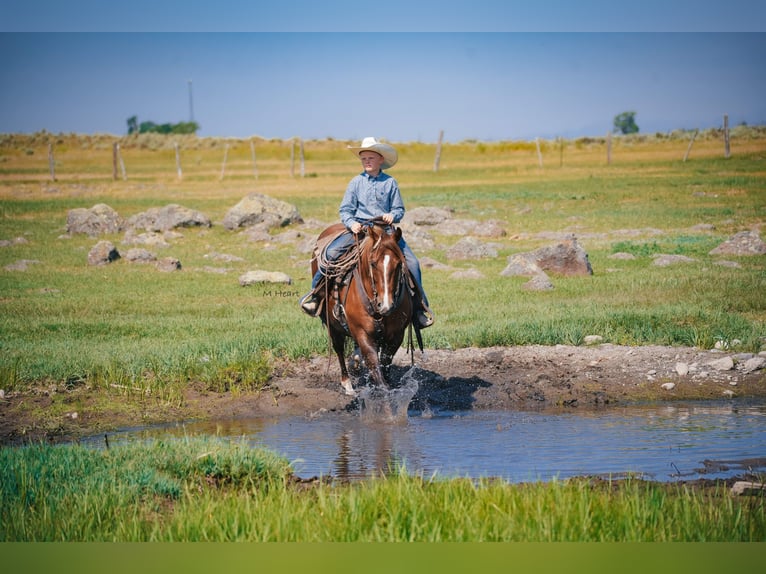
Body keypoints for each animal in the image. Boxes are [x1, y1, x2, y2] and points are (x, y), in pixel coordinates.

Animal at [310, 220, 419, 396]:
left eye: (398, 263)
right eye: (373, 263)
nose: (386, 305)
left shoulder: (396, 335)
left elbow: (385, 363)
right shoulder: (363, 334)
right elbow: (375, 367)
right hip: (332, 324)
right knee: (339, 349)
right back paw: (347, 384)